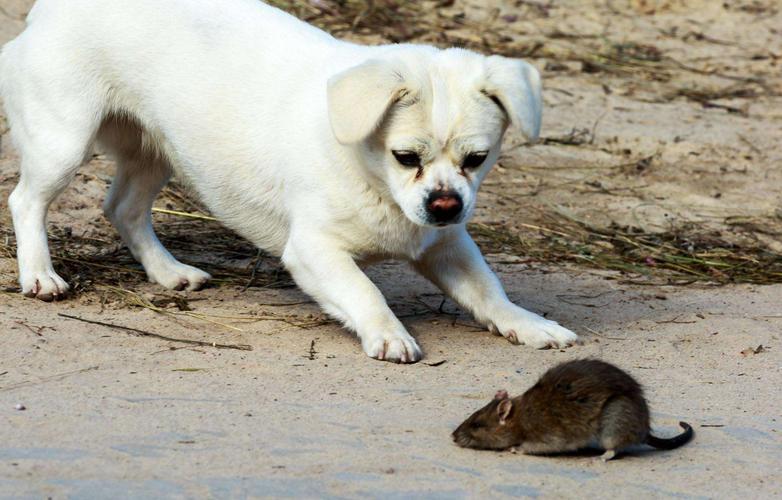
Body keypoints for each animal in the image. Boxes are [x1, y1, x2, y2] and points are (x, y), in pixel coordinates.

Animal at [0, 0, 576, 362]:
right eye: (405, 156)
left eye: (477, 159)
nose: (445, 205)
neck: (374, 179)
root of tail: (50, 7)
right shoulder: (315, 252)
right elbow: (365, 291)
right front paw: (389, 334)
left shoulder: (447, 246)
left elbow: (488, 291)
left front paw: (526, 323)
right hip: (65, 143)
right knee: (26, 200)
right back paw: (40, 275)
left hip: (154, 152)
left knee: (123, 207)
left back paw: (168, 272)